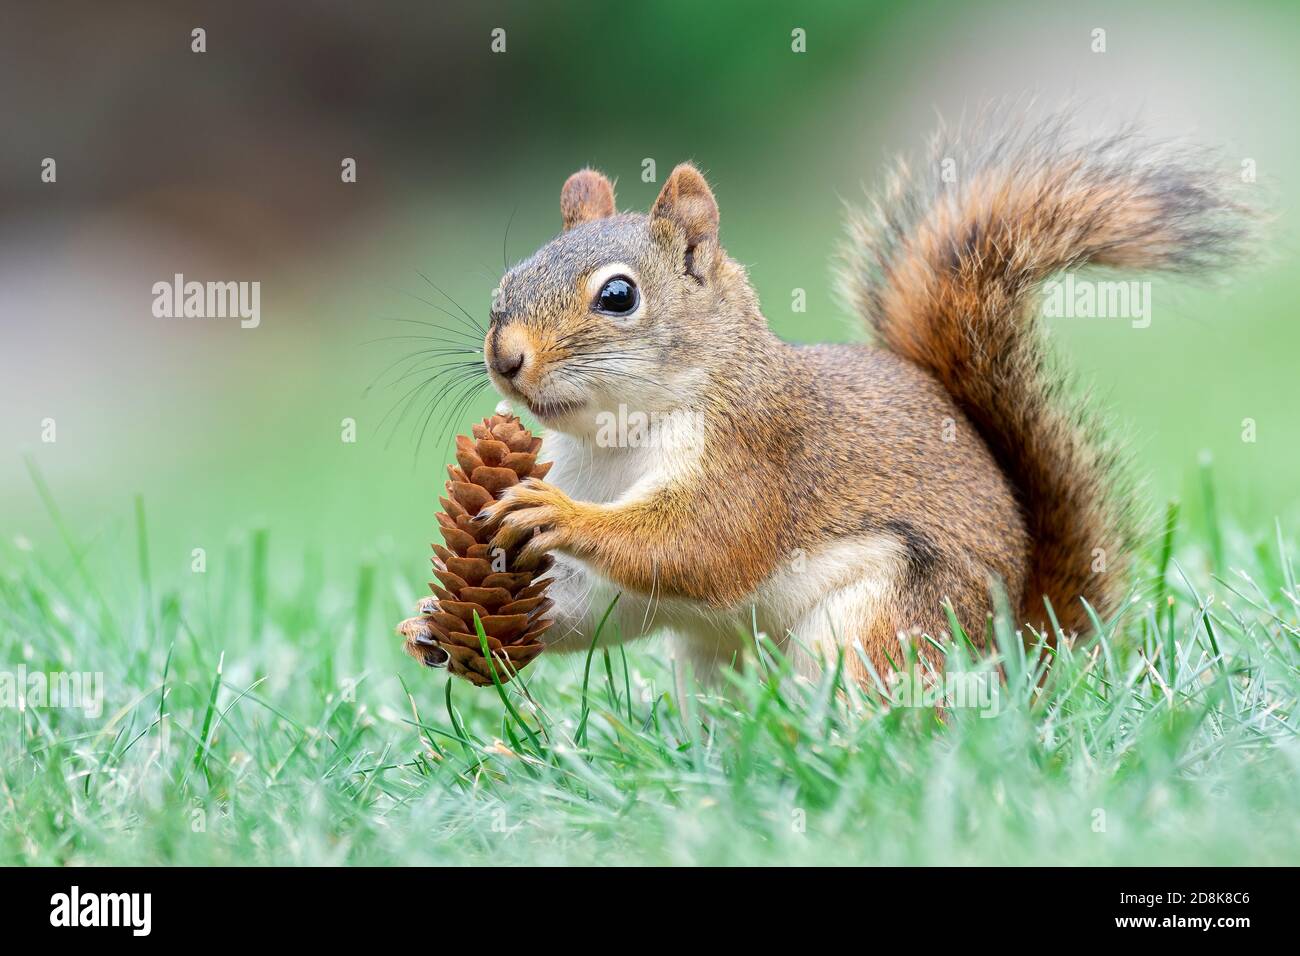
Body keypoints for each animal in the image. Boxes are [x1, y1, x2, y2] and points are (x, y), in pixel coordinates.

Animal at [431, 111, 1253, 686]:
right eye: (509, 279)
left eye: (619, 296)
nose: (504, 358)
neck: (612, 443)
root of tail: (1018, 652)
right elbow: (602, 606)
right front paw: (440, 628)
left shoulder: (754, 455)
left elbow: (702, 545)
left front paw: (557, 514)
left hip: (886, 622)